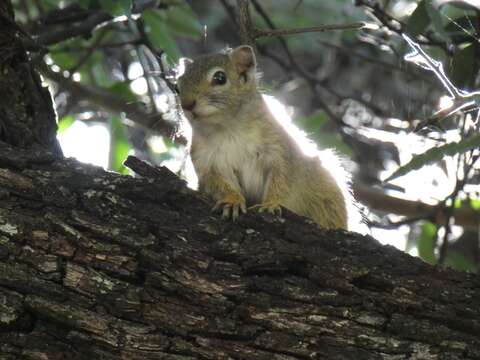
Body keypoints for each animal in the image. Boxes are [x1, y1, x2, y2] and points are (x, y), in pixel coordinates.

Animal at [176, 45, 348, 228]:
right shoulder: (207, 162)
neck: (227, 128)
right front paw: (232, 200)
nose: (187, 105)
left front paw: (270, 204)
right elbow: (218, 184)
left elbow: (282, 179)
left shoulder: (279, 149)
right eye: (176, 87)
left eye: (220, 78)